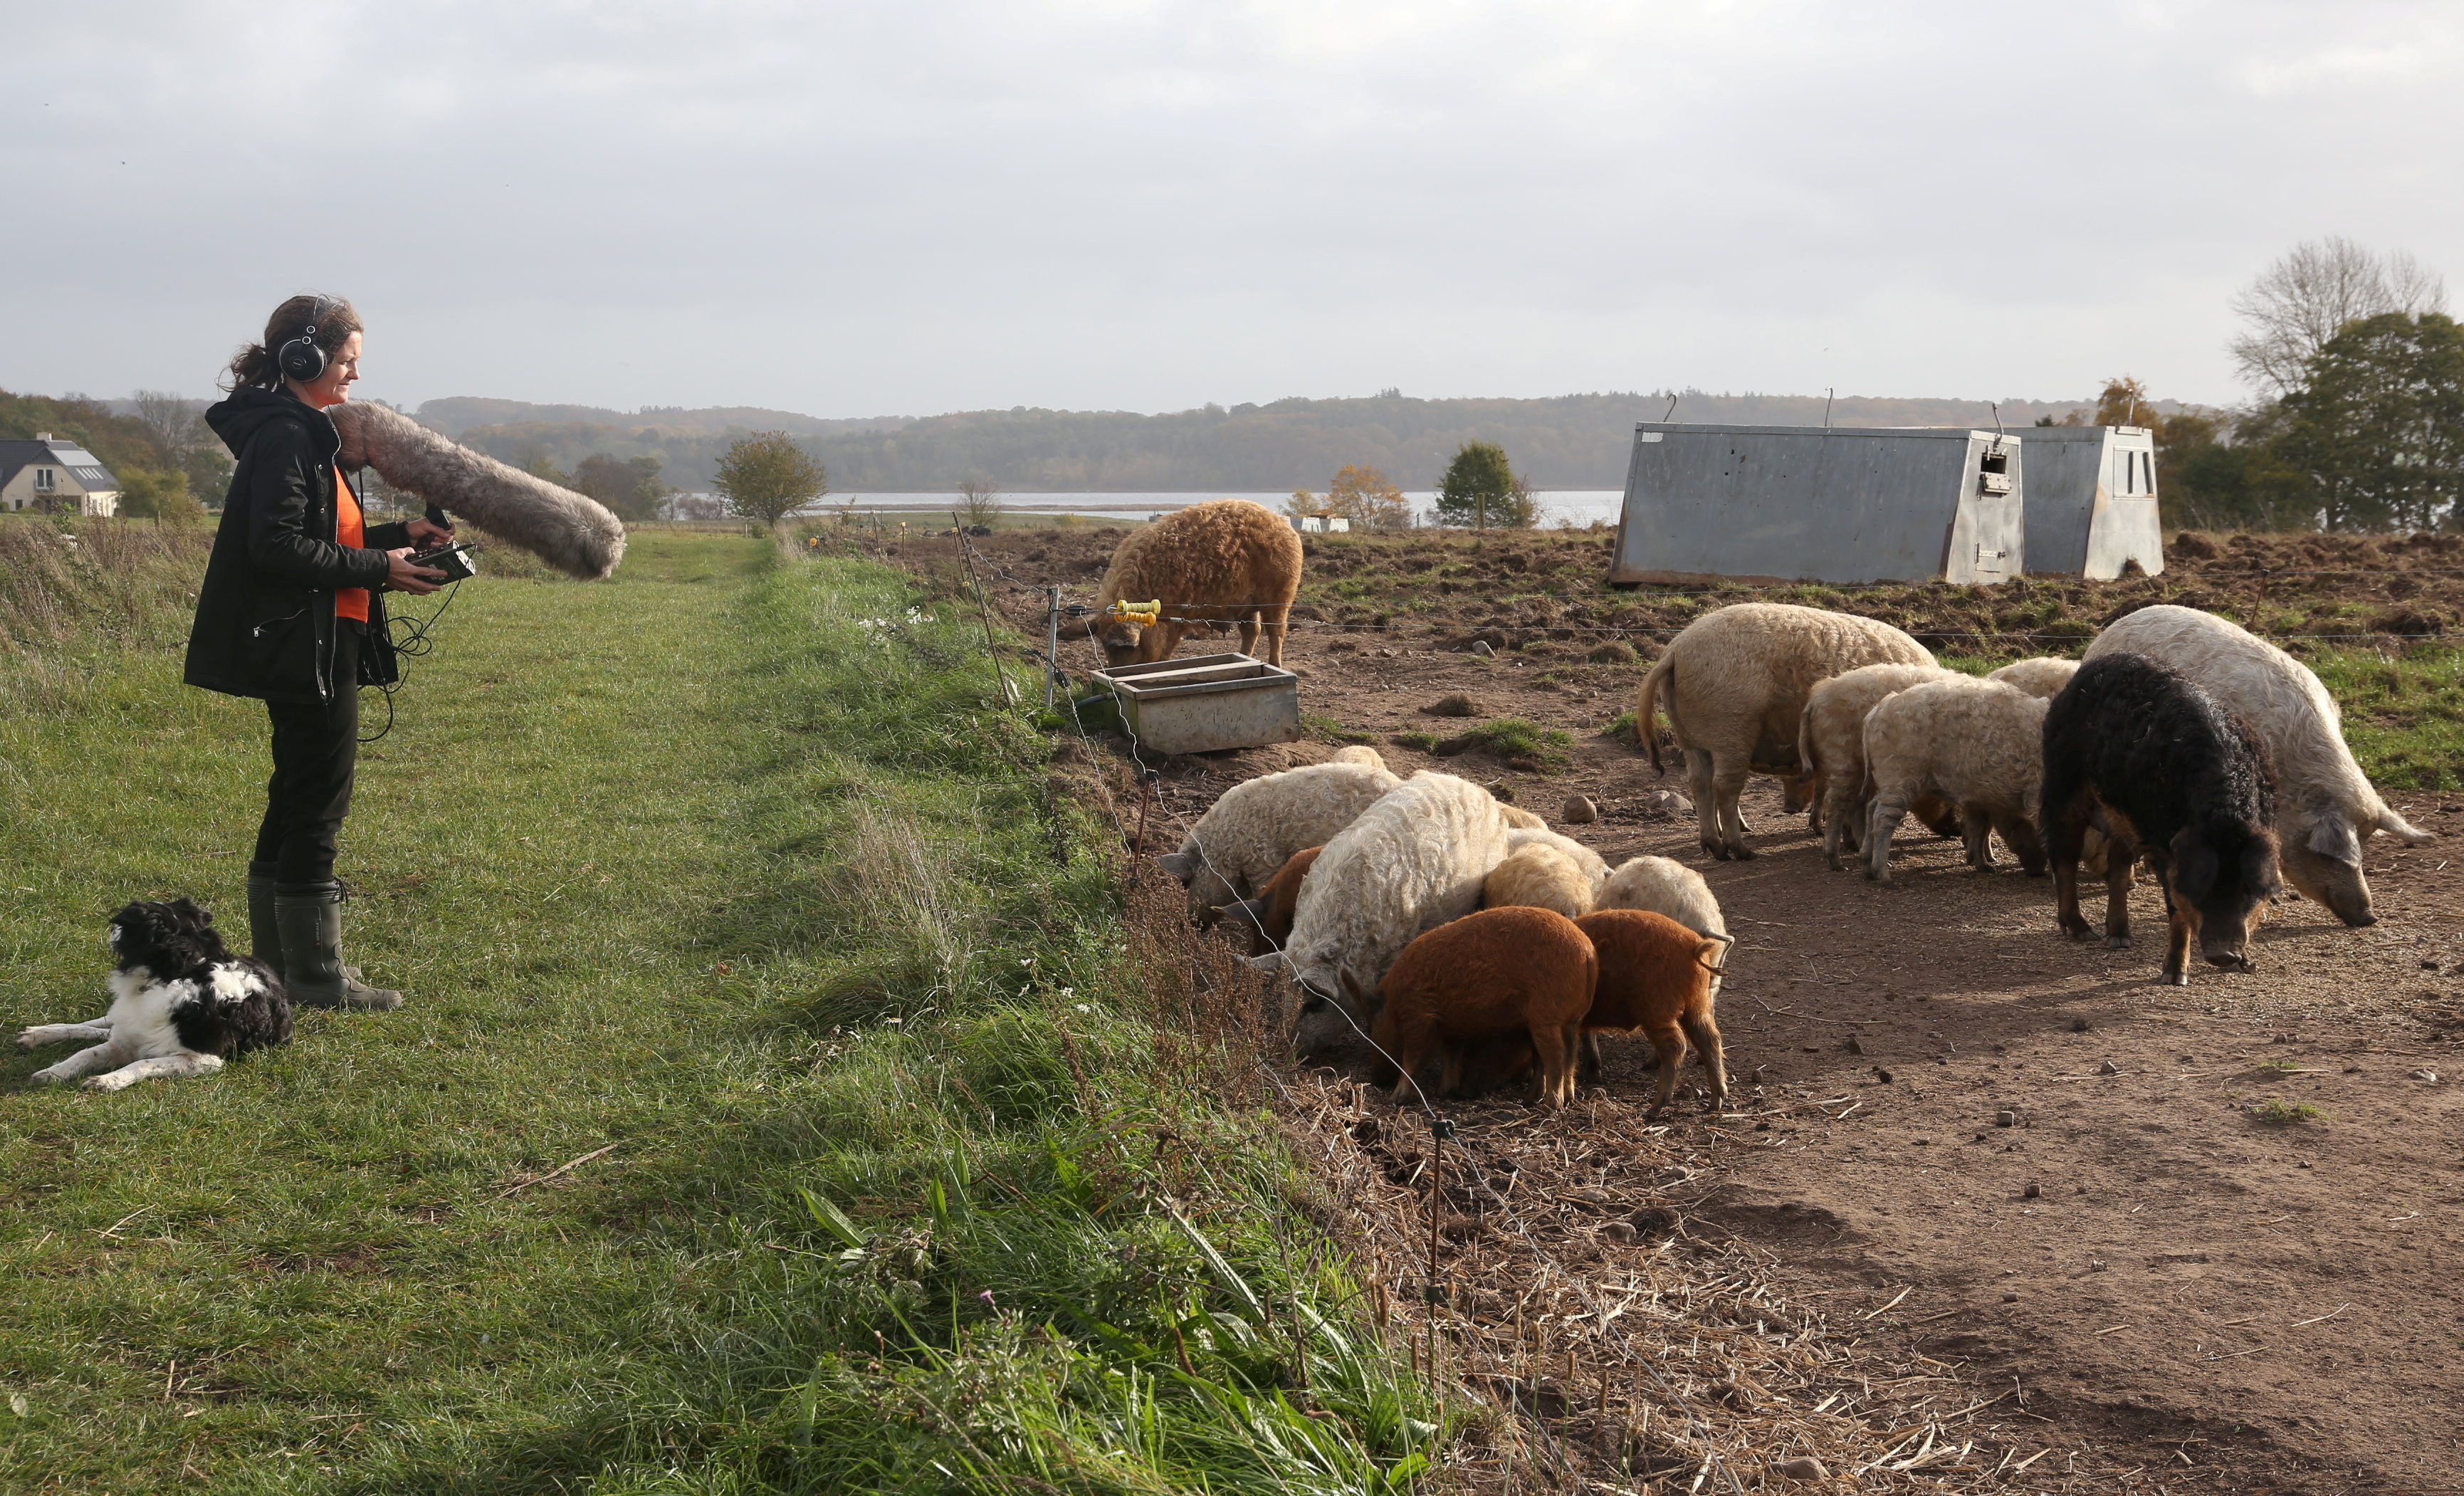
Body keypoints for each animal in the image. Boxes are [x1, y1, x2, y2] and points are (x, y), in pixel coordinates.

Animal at [16, 896, 293, 1094]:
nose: (111, 931)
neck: (178, 973)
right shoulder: (123, 1041)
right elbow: (85, 1053)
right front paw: (53, 1072)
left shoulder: (204, 1060)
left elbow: (143, 1063)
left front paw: (108, 1080)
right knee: (93, 1026)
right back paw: (38, 1034)